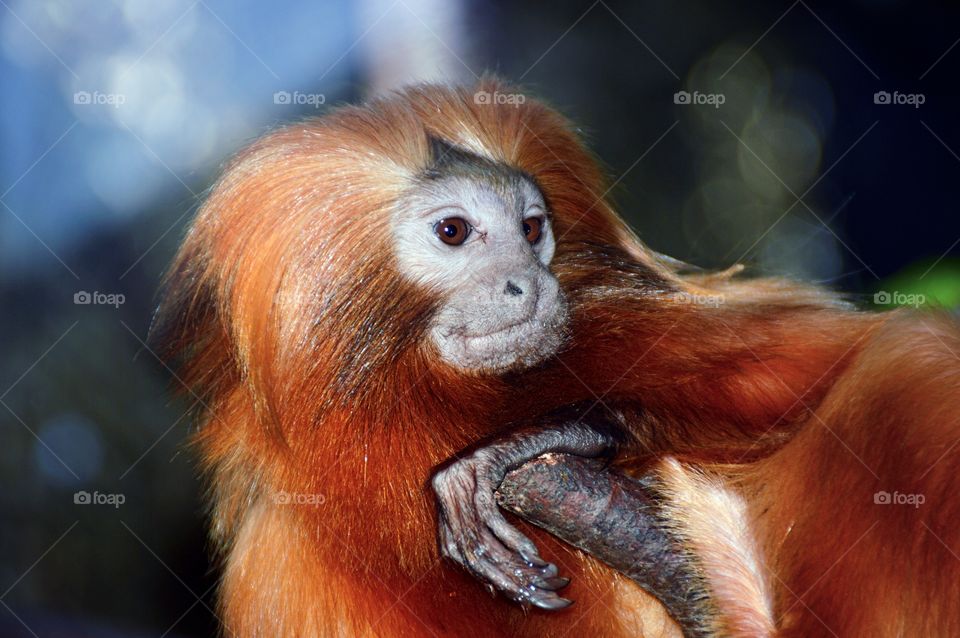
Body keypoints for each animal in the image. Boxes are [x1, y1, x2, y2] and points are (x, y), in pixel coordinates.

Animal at [154, 78, 960, 637]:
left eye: (532, 228)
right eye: (454, 231)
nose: (527, 281)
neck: (434, 397)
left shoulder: (638, 317)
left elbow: (827, 364)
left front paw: (526, 445)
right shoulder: (277, 558)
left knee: (904, 364)